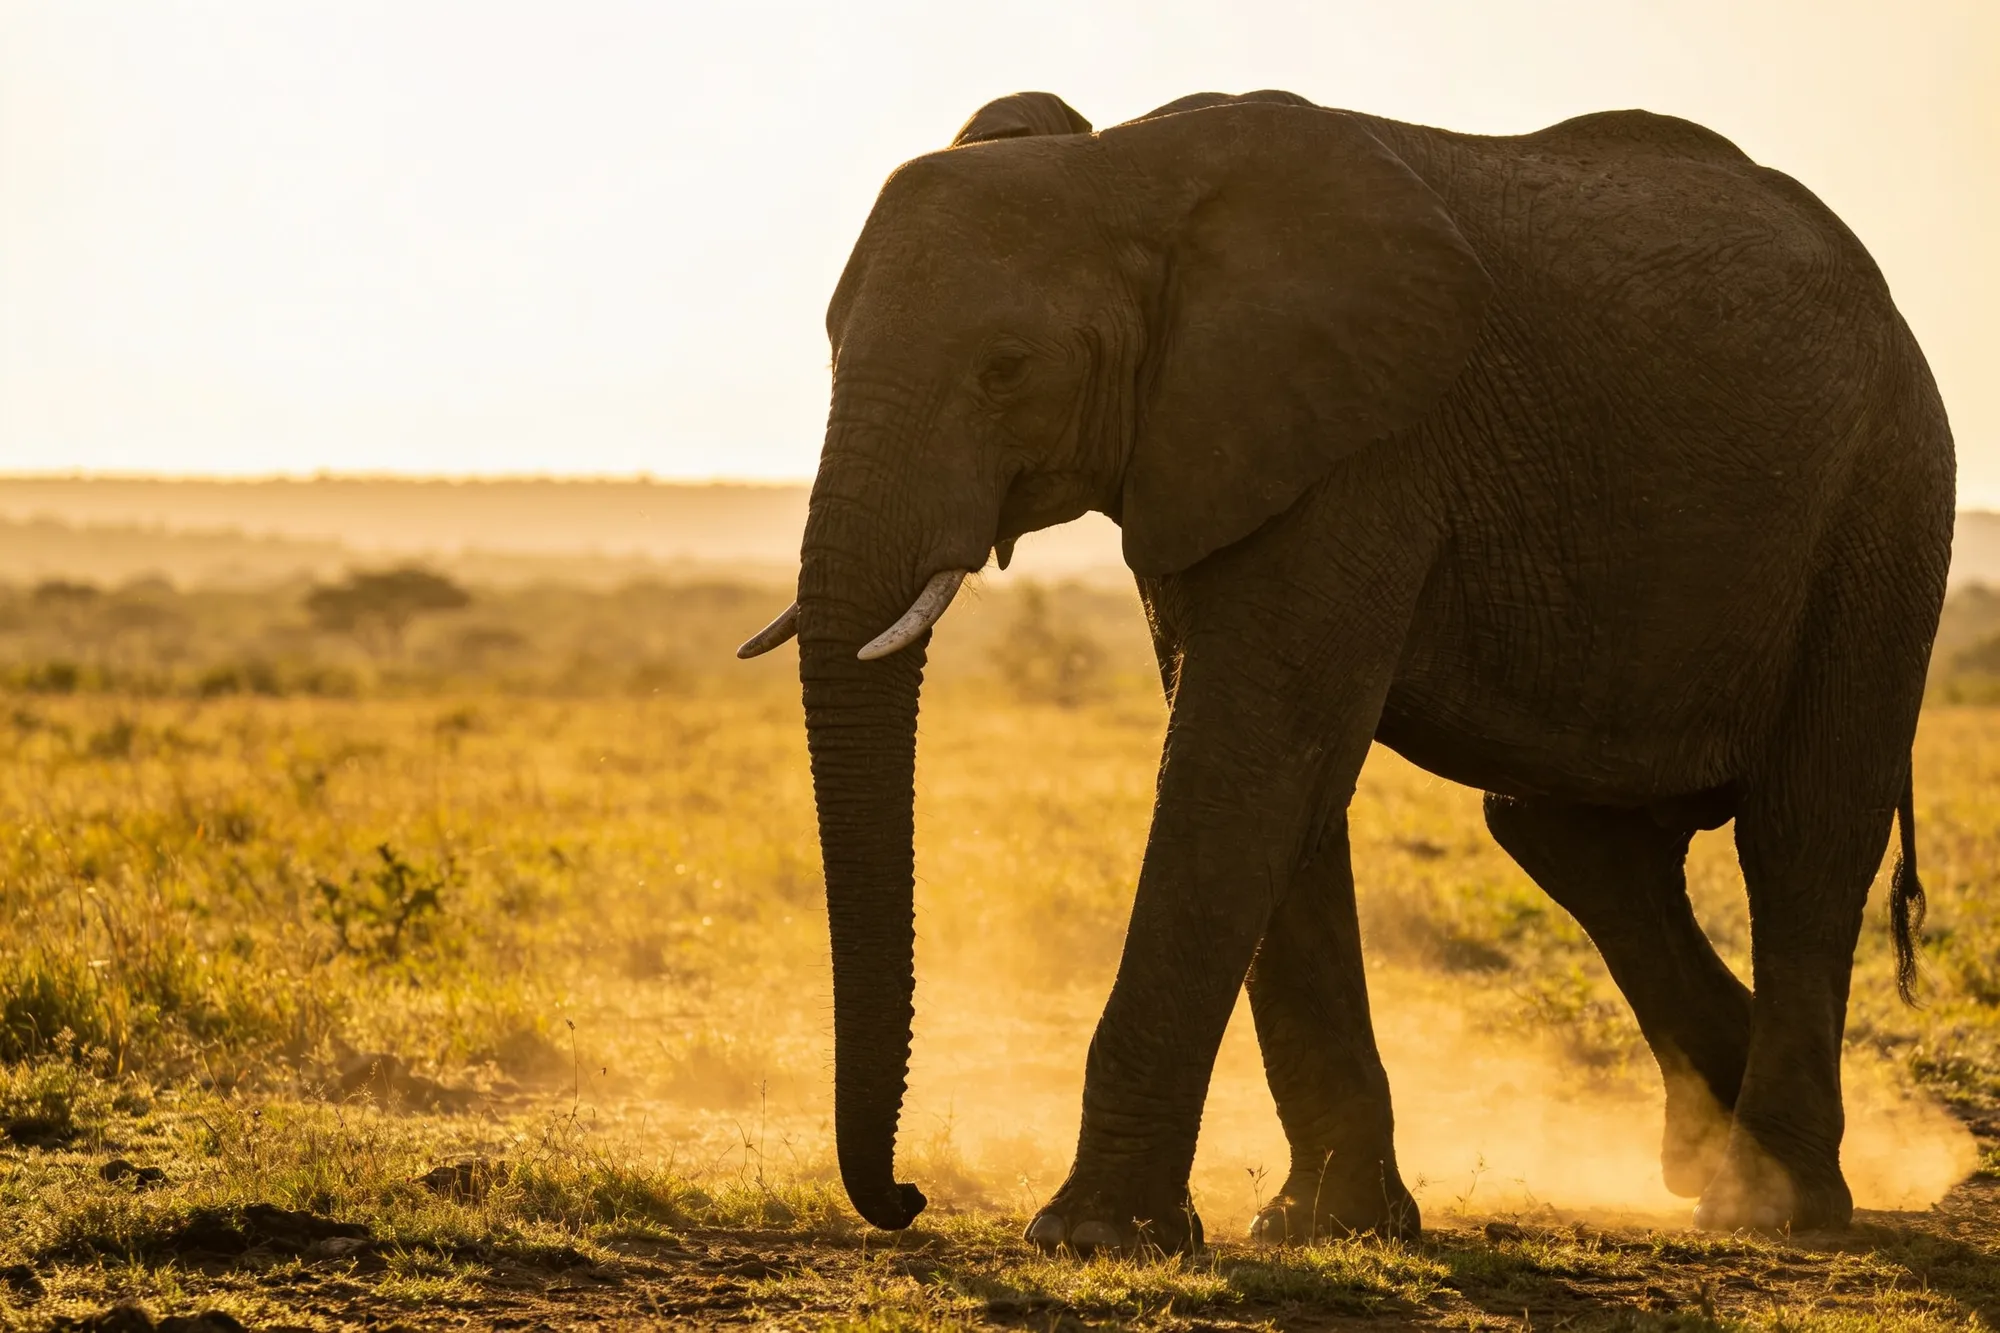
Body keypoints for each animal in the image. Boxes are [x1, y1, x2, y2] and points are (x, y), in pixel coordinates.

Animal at [738, 88, 1954, 1251]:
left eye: (1004, 369)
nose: (907, 1197)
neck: (1123, 168)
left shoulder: (1361, 452)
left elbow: (1244, 762)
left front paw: (1089, 1234)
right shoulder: (1217, 452)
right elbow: (1283, 780)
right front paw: (1327, 1224)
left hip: (1883, 501)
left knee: (1802, 831)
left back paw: (1767, 1202)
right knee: (1569, 834)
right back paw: (1718, 1143)